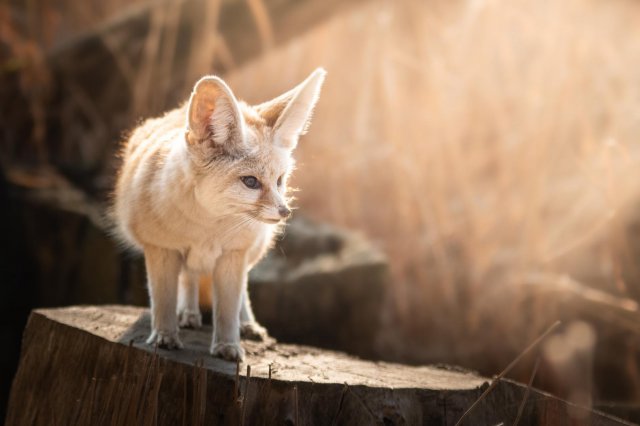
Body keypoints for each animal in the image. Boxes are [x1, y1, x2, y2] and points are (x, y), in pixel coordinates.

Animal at [111, 69, 324, 360]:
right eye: (250, 182)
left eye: (280, 180)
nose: (284, 212)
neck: (207, 227)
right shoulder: (161, 249)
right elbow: (163, 301)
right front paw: (164, 337)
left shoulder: (232, 255)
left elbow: (227, 309)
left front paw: (228, 346)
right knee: (189, 277)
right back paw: (187, 313)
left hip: (250, 253)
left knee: (239, 290)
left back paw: (247, 324)